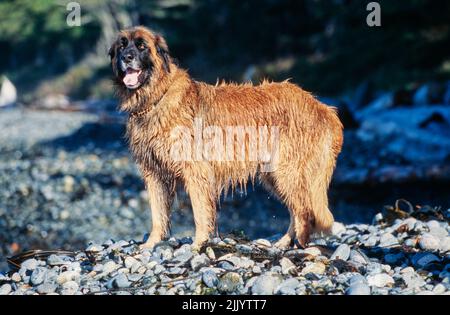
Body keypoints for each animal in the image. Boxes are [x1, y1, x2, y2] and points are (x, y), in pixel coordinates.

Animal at [108, 26, 342, 252]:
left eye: (141, 46)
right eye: (122, 46)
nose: (127, 57)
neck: (156, 97)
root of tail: (323, 108)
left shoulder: (196, 172)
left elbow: (200, 212)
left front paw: (198, 243)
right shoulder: (154, 173)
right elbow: (158, 214)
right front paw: (151, 243)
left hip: (286, 170)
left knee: (303, 210)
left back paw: (299, 244)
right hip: (275, 175)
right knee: (297, 208)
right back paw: (285, 242)